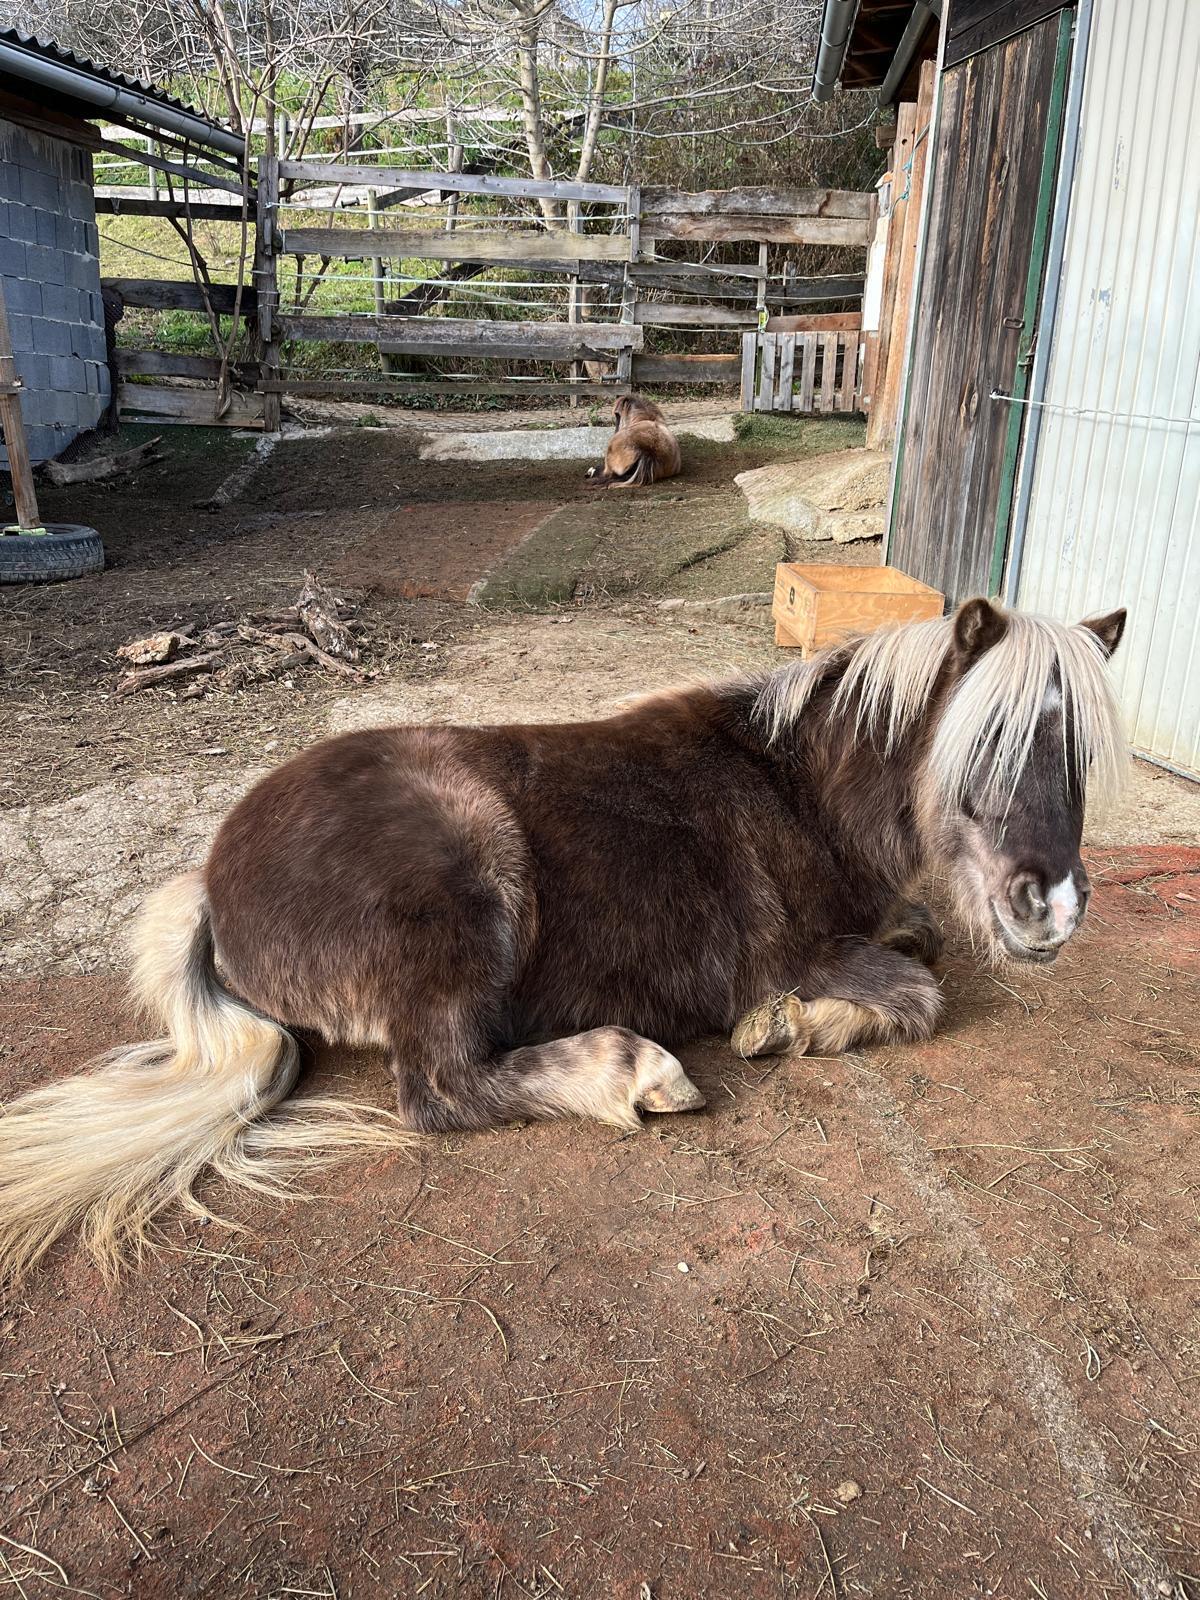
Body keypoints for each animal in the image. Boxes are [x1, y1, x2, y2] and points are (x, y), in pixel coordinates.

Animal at [0, 597, 1127, 1282]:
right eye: (989, 742)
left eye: (1079, 753)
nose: (1054, 907)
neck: (798, 789)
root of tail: (212, 883)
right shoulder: (794, 950)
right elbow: (920, 989)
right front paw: (792, 1025)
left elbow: (922, 938)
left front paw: (802, 1019)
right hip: (470, 883)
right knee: (445, 1086)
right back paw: (634, 1073)